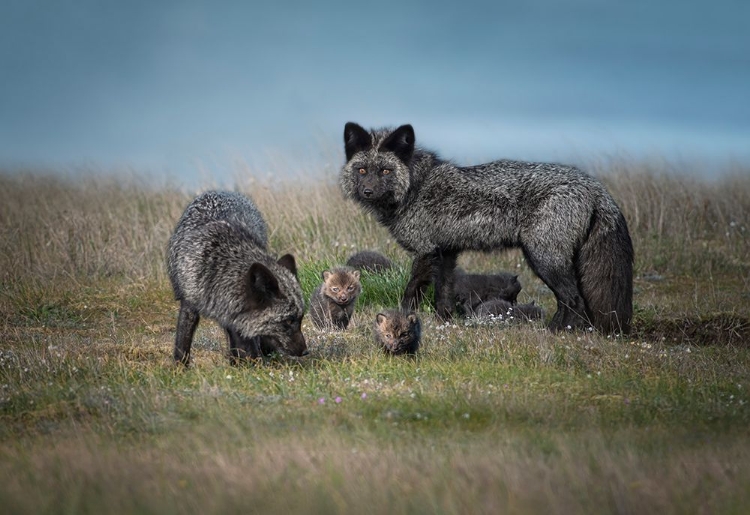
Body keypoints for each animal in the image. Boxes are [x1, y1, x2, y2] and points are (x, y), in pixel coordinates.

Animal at [167, 191, 308, 364]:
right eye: (288, 321)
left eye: (301, 318)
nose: (305, 352)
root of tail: (220, 191)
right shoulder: (189, 304)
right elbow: (183, 341)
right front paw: (180, 366)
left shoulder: (234, 316)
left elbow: (244, 340)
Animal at [340, 124, 636, 334]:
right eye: (362, 170)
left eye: (386, 171)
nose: (367, 192)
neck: (415, 187)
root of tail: (594, 186)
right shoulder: (445, 253)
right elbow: (443, 293)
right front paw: (444, 322)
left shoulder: (426, 251)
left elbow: (411, 292)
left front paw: (402, 320)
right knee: (573, 300)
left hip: (543, 259)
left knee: (573, 299)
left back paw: (556, 332)